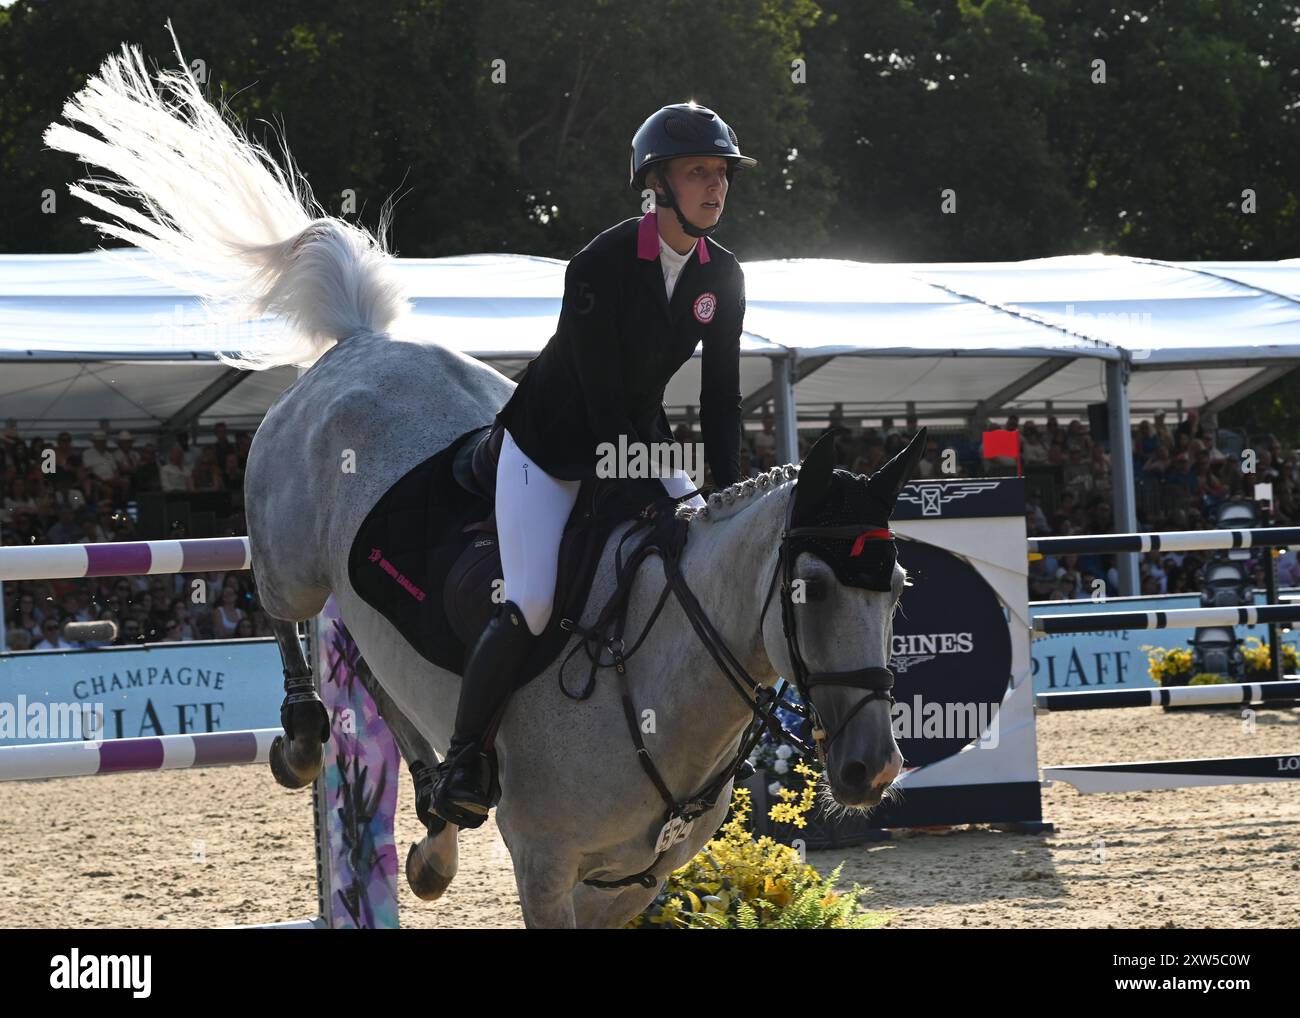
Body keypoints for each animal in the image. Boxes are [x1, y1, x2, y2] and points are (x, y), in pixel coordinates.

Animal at [40, 27, 915, 925]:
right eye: (812, 588)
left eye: (897, 590)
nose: (874, 770)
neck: (664, 672)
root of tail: (360, 343)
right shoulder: (547, 866)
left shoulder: (634, 881)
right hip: (294, 555)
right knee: (278, 599)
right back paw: (304, 736)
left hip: (372, 609)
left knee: (380, 674)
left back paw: (435, 824)